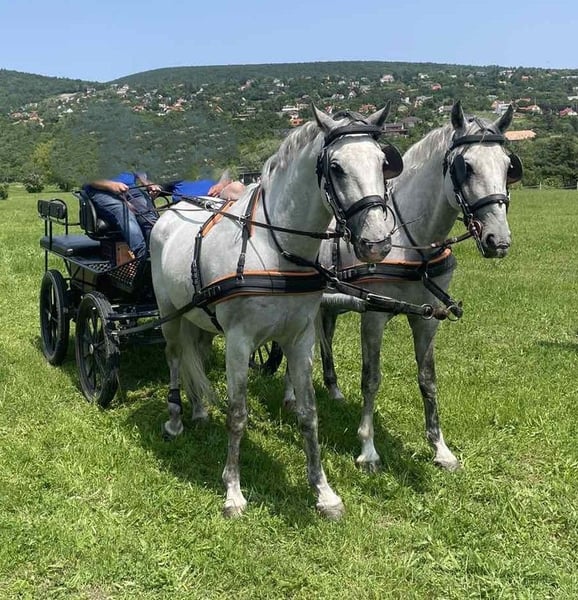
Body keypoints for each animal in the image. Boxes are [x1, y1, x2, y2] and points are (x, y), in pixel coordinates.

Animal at [150, 104, 402, 518]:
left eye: (383, 162)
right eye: (336, 167)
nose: (377, 242)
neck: (277, 247)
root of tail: (172, 212)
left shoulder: (300, 338)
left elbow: (309, 414)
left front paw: (323, 492)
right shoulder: (239, 343)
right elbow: (237, 415)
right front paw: (233, 491)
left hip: (197, 316)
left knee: (194, 353)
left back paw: (199, 409)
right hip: (169, 312)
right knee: (173, 357)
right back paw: (174, 420)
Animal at [312, 101, 522, 473]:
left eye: (508, 165)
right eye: (465, 166)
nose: (498, 240)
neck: (411, 244)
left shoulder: (427, 318)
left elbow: (428, 381)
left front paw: (440, 448)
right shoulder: (374, 315)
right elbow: (371, 378)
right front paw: (368, 449)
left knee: (327, 333)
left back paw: (333, 388)